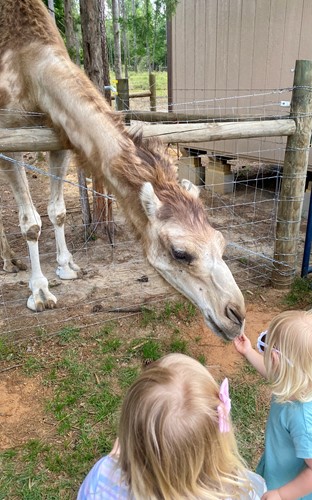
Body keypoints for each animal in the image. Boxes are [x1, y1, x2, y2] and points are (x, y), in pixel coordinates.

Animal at [0, 0, 245, 340]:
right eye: (180, 253)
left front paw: (67, 266)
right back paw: (10, 264)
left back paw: (11, 261)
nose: (236, 315)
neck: (27, 58)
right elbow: (31, 223)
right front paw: (39, 293)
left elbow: (57, 211)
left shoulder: (56, 137)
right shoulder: (8, 134)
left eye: (222, 242)